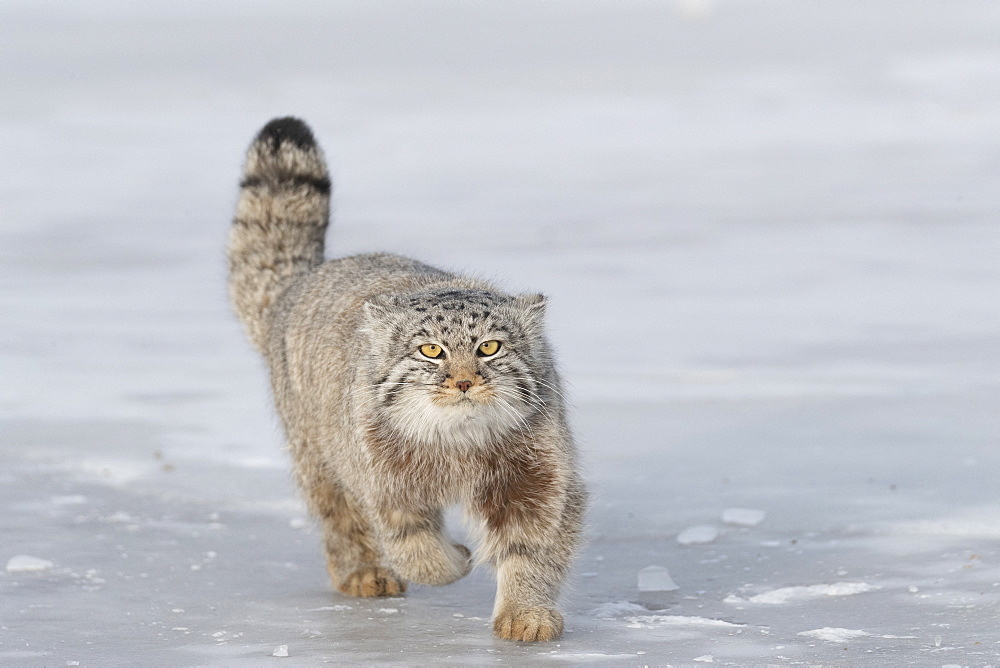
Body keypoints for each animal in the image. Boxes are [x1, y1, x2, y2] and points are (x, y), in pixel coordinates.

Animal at [227, 117, 584, 640]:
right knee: (340, 517)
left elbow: (531, 548)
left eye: (490, 347)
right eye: (430, 350)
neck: (459, 446)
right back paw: (363, 572)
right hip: (319, 456)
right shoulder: (384, 483)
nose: (463, 382)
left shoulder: (537, 480)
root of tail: (301, 282)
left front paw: (527, 615)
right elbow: (414, 548)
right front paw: (456, 560)